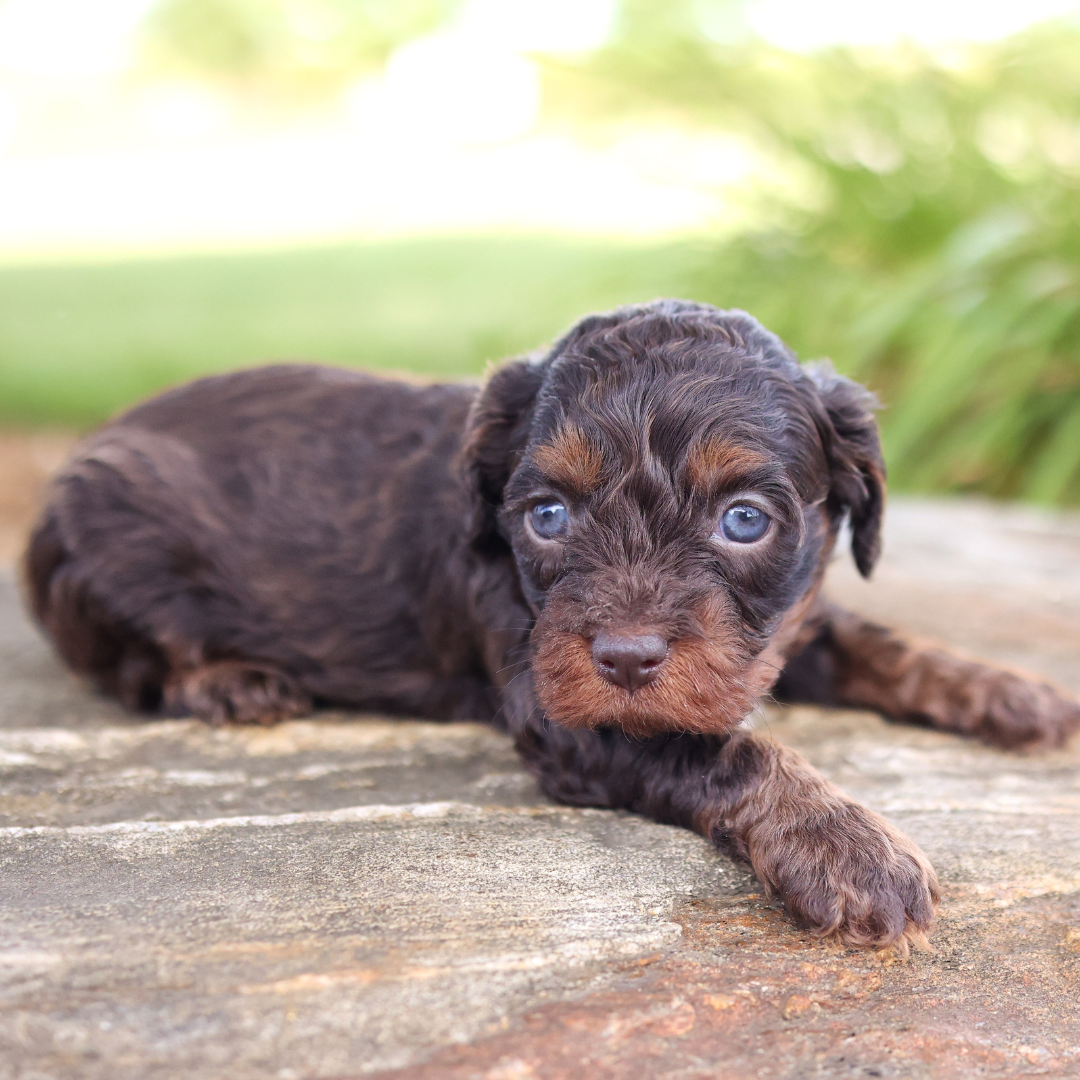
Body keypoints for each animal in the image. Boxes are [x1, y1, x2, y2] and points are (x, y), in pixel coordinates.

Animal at [25, 300, 1080, 950]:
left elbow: (876, 642)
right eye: (548, 516)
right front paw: (850, 847)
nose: (624, 657)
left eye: (744, 520)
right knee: (130, 662)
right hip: (97, 546)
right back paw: (231, 680)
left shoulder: (782, 625)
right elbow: (730, 751)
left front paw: (1012, 693)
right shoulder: (566, 712)